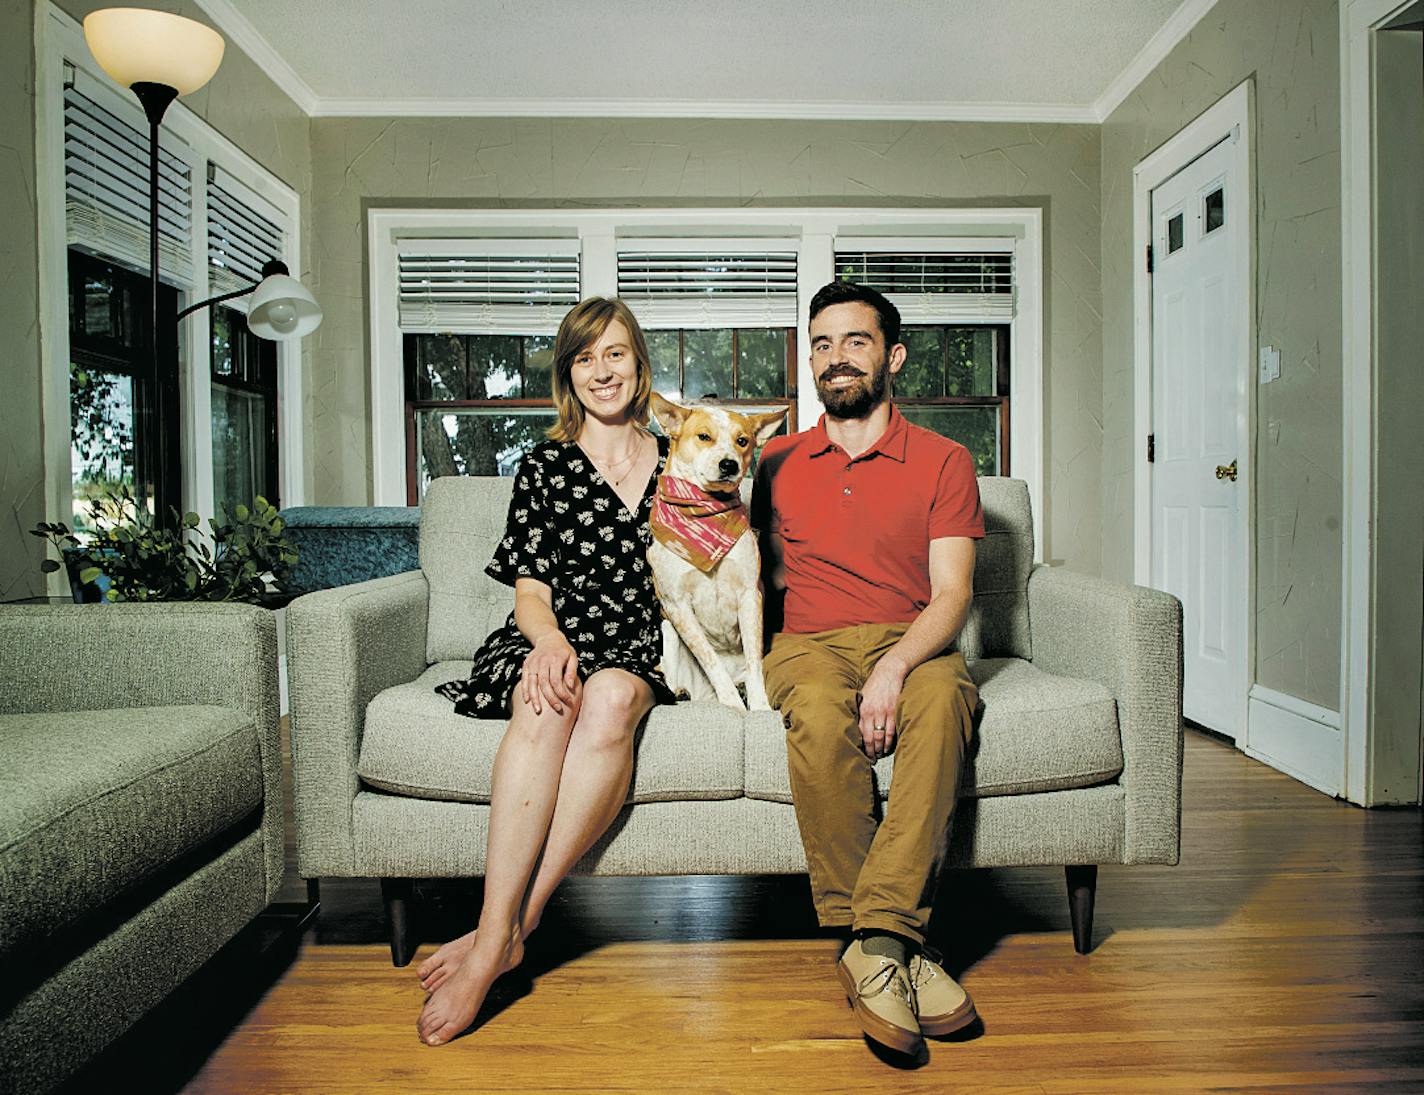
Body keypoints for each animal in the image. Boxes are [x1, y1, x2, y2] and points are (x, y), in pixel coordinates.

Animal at [649, 390, 791, 709]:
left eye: (743, 441)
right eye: (704, 437)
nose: (729, 465)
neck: (705, 512)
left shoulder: (750, 595)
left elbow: (754, 663)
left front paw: (758, 707)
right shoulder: (677, 605)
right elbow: (711, 661)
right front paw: (733, 706)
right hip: (668, 631)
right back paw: (683, 692)